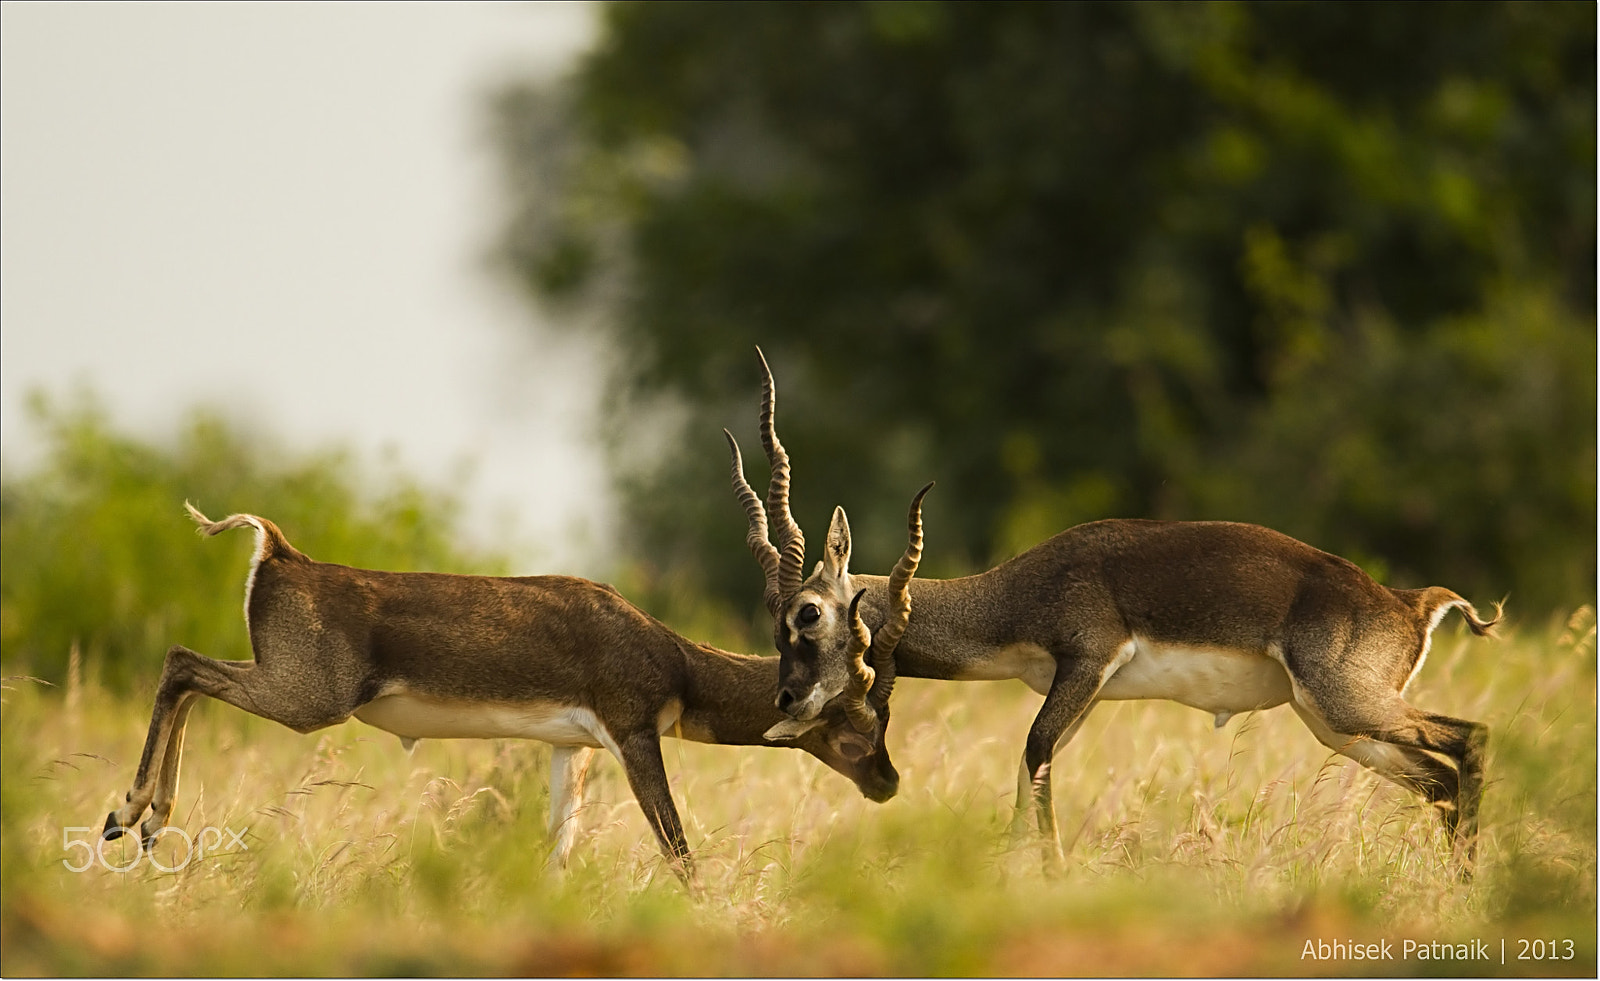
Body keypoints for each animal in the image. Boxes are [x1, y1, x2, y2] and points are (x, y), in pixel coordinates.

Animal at [106, 502, 921, 876]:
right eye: (856, 713)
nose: (888, 782)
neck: (668, 654)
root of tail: (279, 551)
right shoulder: (633, 735)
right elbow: (680, 853)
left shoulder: (573, 749)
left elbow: (556, 855)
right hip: (306, 700)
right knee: (180, 662)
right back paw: (128, 815)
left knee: (184, 673)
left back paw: (146, 825)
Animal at [726, 350, 1497, 864]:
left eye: (807, 614)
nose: (787, 698)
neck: (1014, 595)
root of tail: (1409, 601)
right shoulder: (1086, 691)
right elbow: (1027, 777)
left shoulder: (1086, 663)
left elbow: (1034, 759)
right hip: (1337, 726)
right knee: (1438, 780)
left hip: (1349, 705)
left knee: (1471, 738)